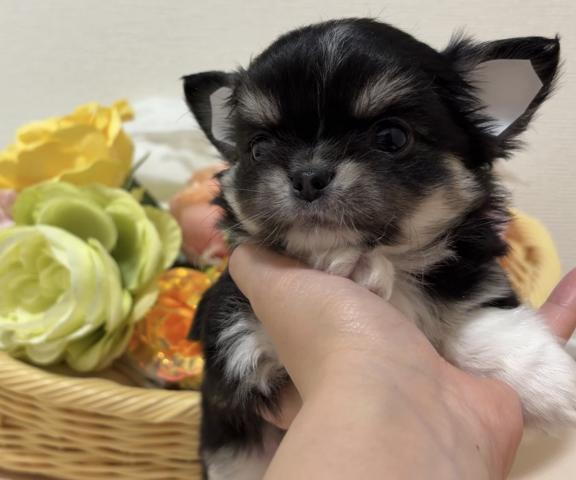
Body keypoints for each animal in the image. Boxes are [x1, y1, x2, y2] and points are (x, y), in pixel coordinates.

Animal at [184, 18, 573, 479]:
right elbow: (256, 340)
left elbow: (477, 321)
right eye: (258, 148)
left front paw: (547, 380)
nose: (308, 175)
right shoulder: (234, 342)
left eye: (391, 137)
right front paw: (345, 262)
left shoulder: (474, 282)